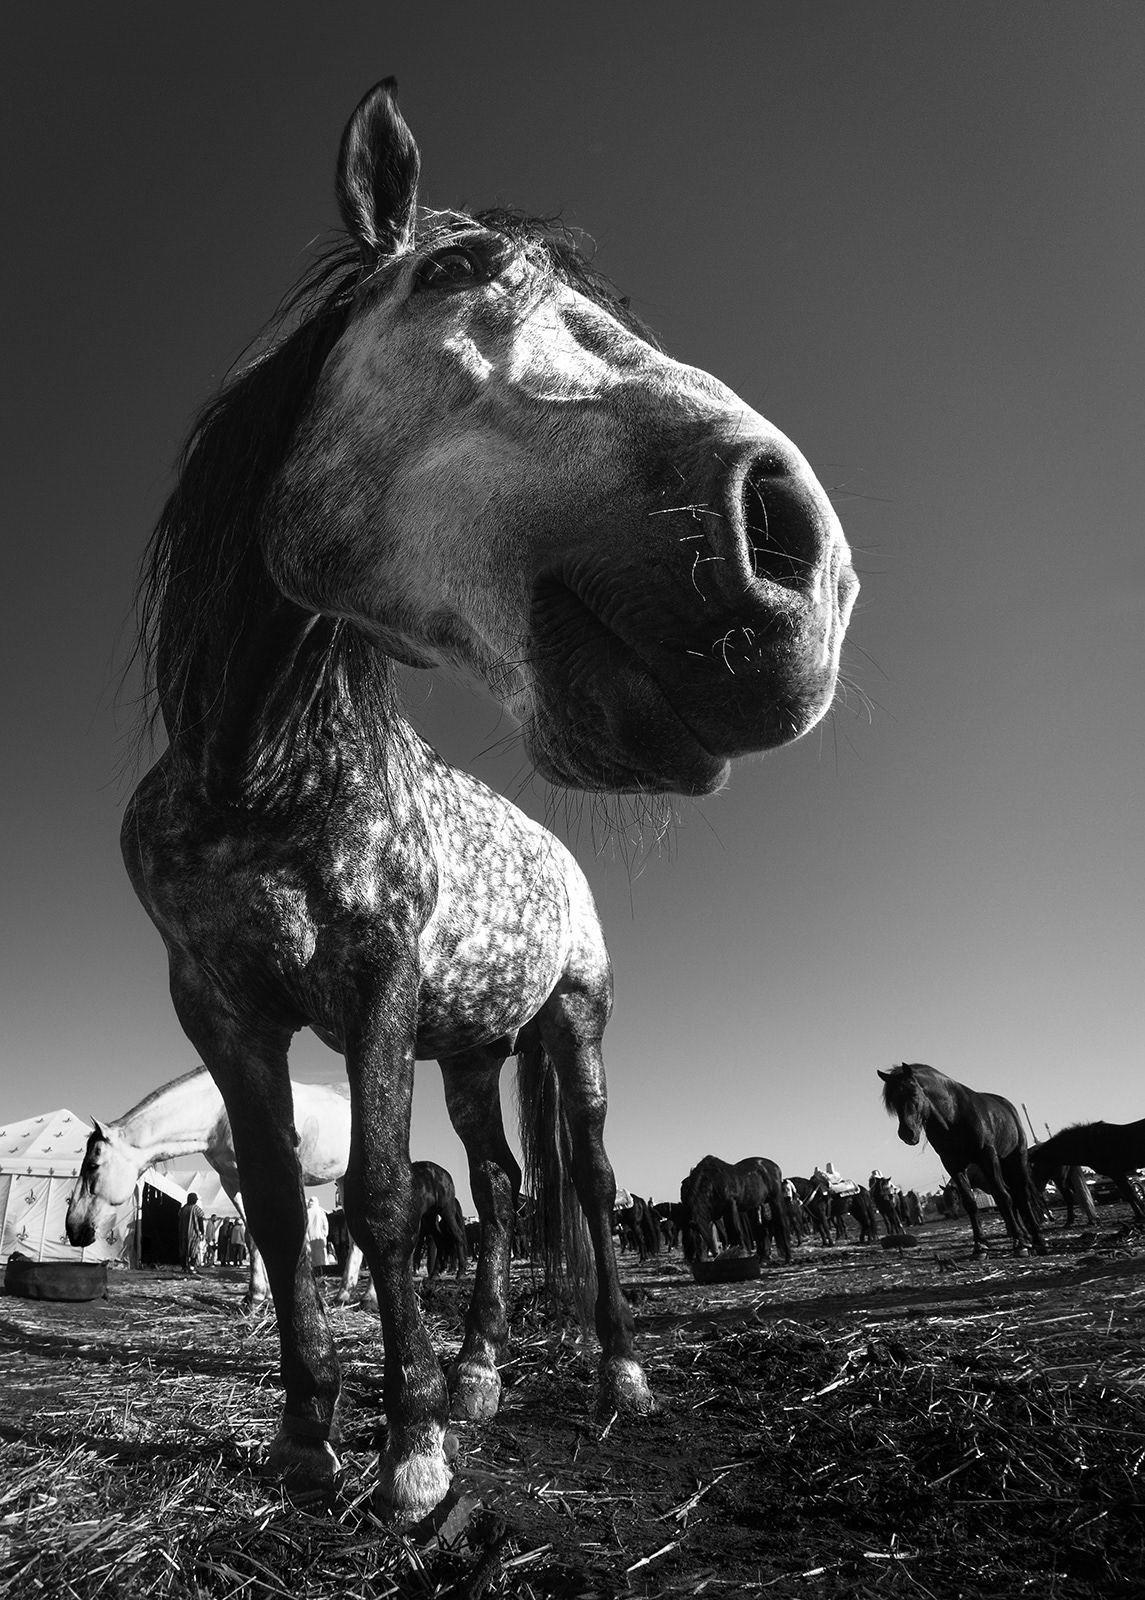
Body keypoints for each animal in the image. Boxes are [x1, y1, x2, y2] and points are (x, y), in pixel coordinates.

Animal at [121, 79, 856, 1521]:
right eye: (452, 272)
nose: (799, 556)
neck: (255, 771)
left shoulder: (377, 977)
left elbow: (379, 1202)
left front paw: (406, 1455)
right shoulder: (221, 1005)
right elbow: (290, 1214)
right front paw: (310, 1434)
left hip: (570, 1026)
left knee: (589, 1177)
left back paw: (612, 1376)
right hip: (469, 1050)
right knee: (505, 1184)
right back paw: (477, 1374)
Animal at [879, 1064, 1046, 1256]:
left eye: (913, 1092)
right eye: (893, 1101)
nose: (907, 1133)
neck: (953, 1116)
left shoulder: (987, 1156)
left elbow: (1002, 1197)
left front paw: (1019, 1243)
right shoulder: (952, 1164)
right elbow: (970, 1203)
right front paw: (980, 1246)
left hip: (1017, 1157)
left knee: (1023, 1195)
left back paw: (1037, 1239)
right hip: (1003, 1163)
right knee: (1015, 1196)